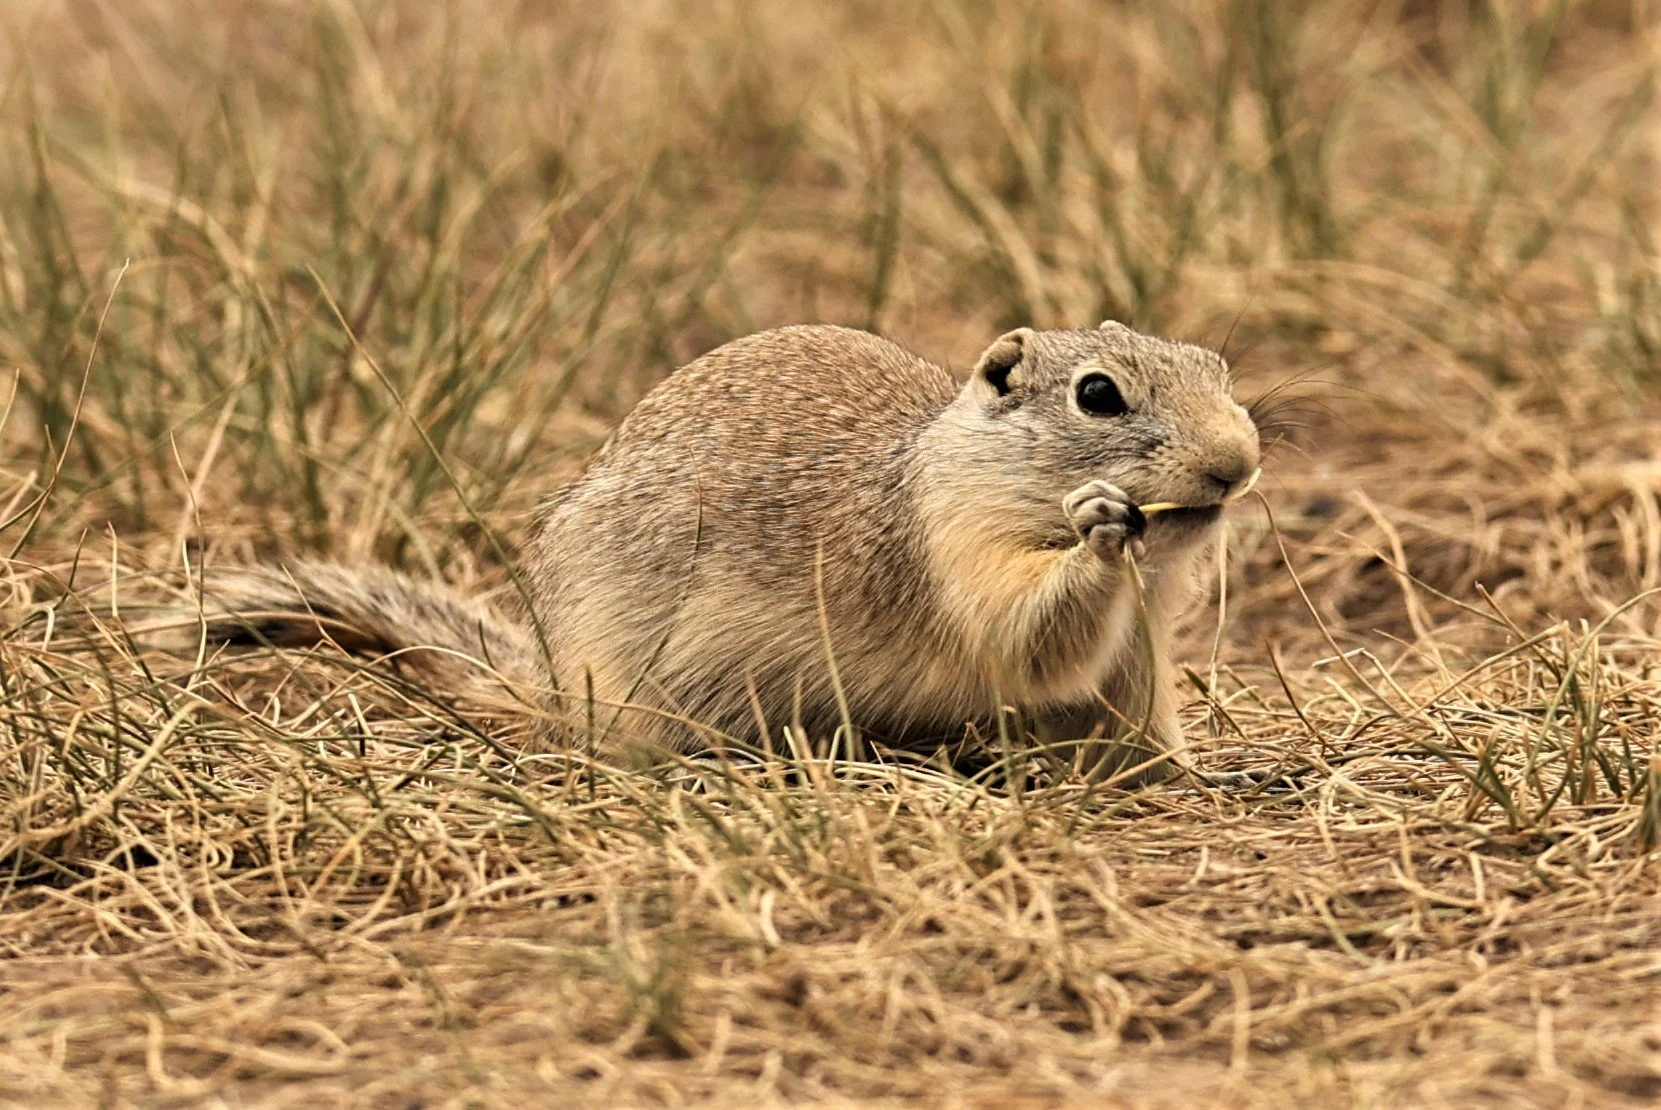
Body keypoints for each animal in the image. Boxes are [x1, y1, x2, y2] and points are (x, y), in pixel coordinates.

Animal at [188, 322, 1260, 784]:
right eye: (1096, 395)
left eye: (1216, 367)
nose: (1239, 463)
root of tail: (551, 692)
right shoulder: (960, 553)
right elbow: (1030, 636)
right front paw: (1098, 523)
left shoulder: (1143, 657)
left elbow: (1141, 736)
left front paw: (1210, 777)